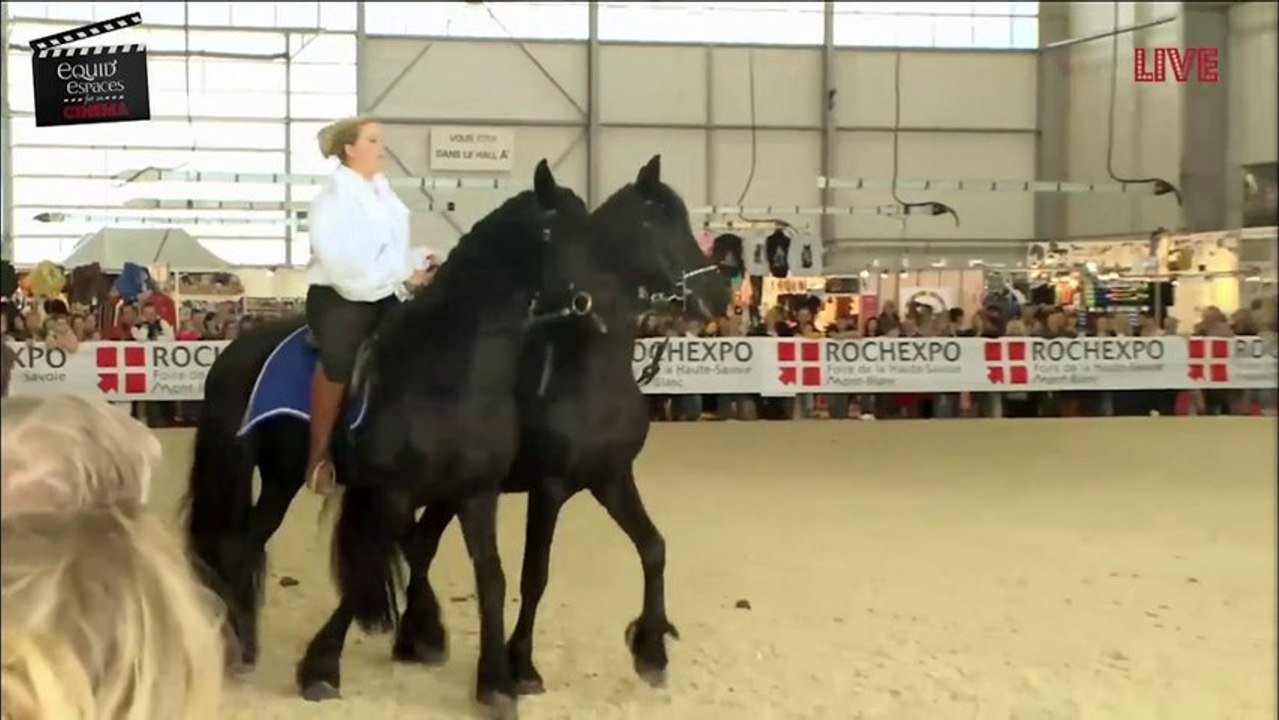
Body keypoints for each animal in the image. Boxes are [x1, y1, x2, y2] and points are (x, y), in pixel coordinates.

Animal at [183, 160, 591, 717]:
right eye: (551, 231)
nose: (587, 299)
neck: (450, 369)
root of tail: (234, 352)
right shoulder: (395, 493)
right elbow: (369, 570)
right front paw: (323, 668)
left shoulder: (475, 493)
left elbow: (490, 577)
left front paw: (494, 683)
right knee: (237, 545)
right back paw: (238, 645)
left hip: (282, 477)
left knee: (246, 543)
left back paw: (244, 641)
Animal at [371, 155, 733, 695]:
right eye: (654, 221)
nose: (718, 295)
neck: (587, 369)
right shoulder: (550, 487)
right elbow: (534, 576)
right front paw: (521, 665)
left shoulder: (610, 478)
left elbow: (653, 548)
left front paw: (651, 649)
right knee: (417, 546)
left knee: (422, 546)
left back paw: (415, 640)